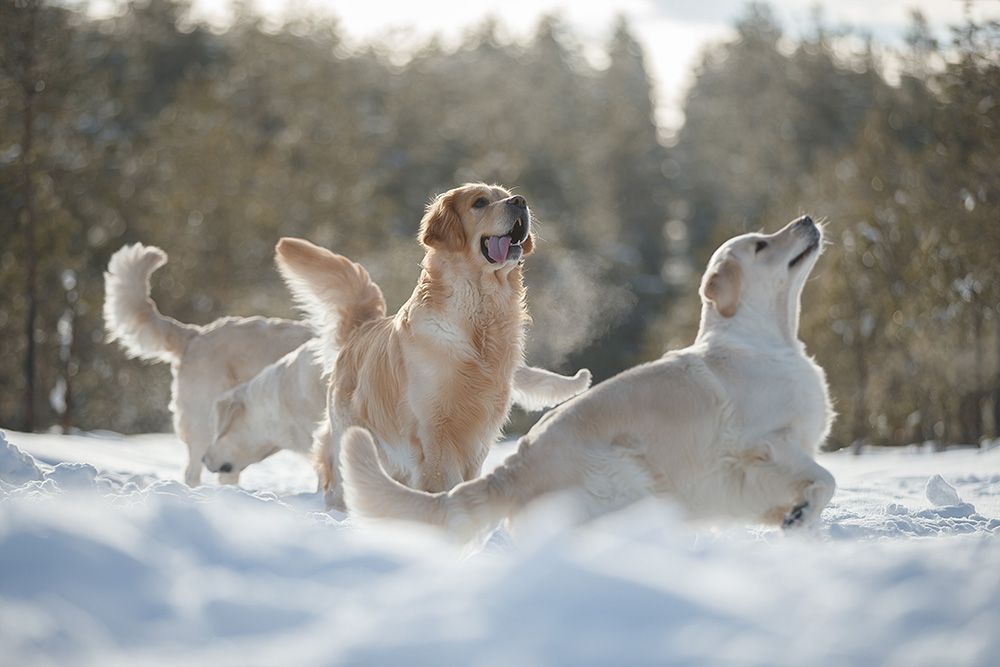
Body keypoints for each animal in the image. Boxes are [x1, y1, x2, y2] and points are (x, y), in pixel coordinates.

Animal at [274, 185, 588, 508]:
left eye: (506, 195)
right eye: (479, 203)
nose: (520, 201)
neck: (480, 316)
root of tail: (364, 326)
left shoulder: (479, 433)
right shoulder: (436, 430)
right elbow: (446, 482)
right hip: (353, 434)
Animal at [336, 217, 836, 540]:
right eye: (761, 245)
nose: (807, 218)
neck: (763, 340)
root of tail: (511, 470)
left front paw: (799, 523)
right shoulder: (766, 444)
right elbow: (826, 478)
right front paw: (803, 514)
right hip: (629, 479)